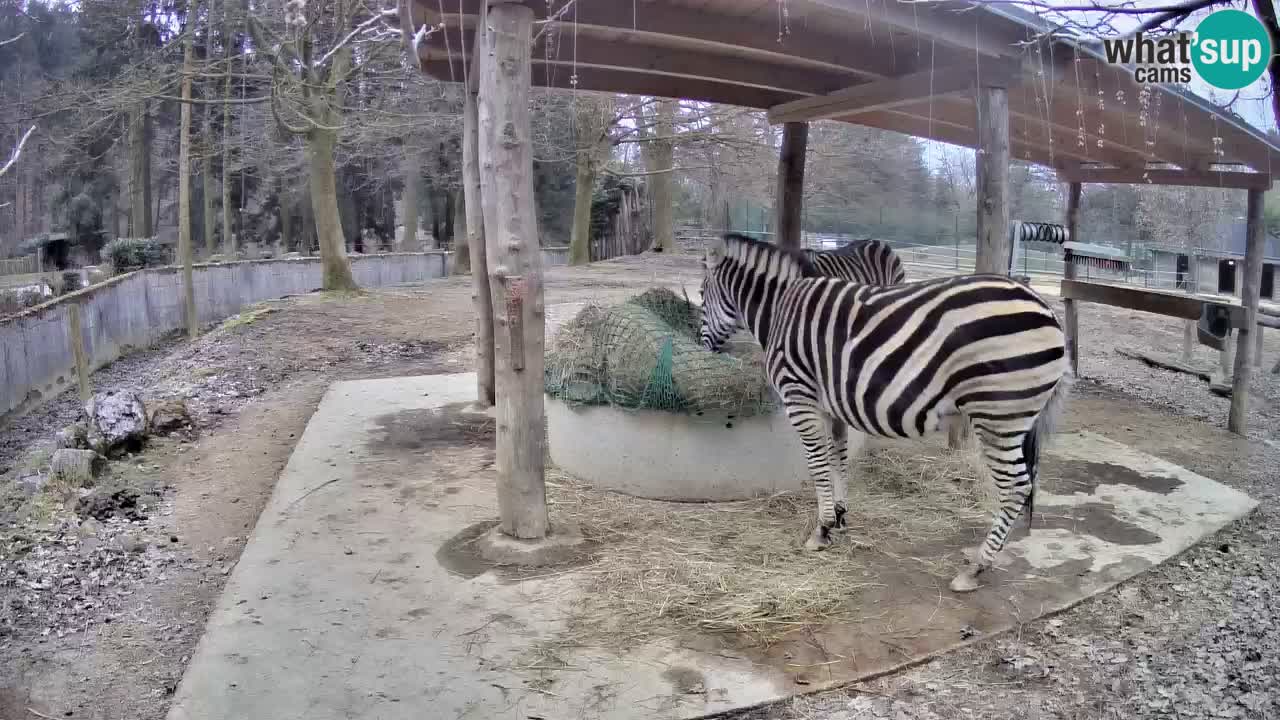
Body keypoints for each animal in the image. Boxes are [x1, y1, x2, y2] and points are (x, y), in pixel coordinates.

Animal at [701, 233, 1070, 591]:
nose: (704, 347)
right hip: (1014, 418)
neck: (779, 308)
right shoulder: (833, 404)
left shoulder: (799, 396)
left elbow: (818, 463)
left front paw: (821, 530)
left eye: (702, 295)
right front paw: (840, 516)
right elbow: (838, 457)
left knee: (1016, 487)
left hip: (997, 415)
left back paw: (976, 568)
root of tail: (1046, 310)